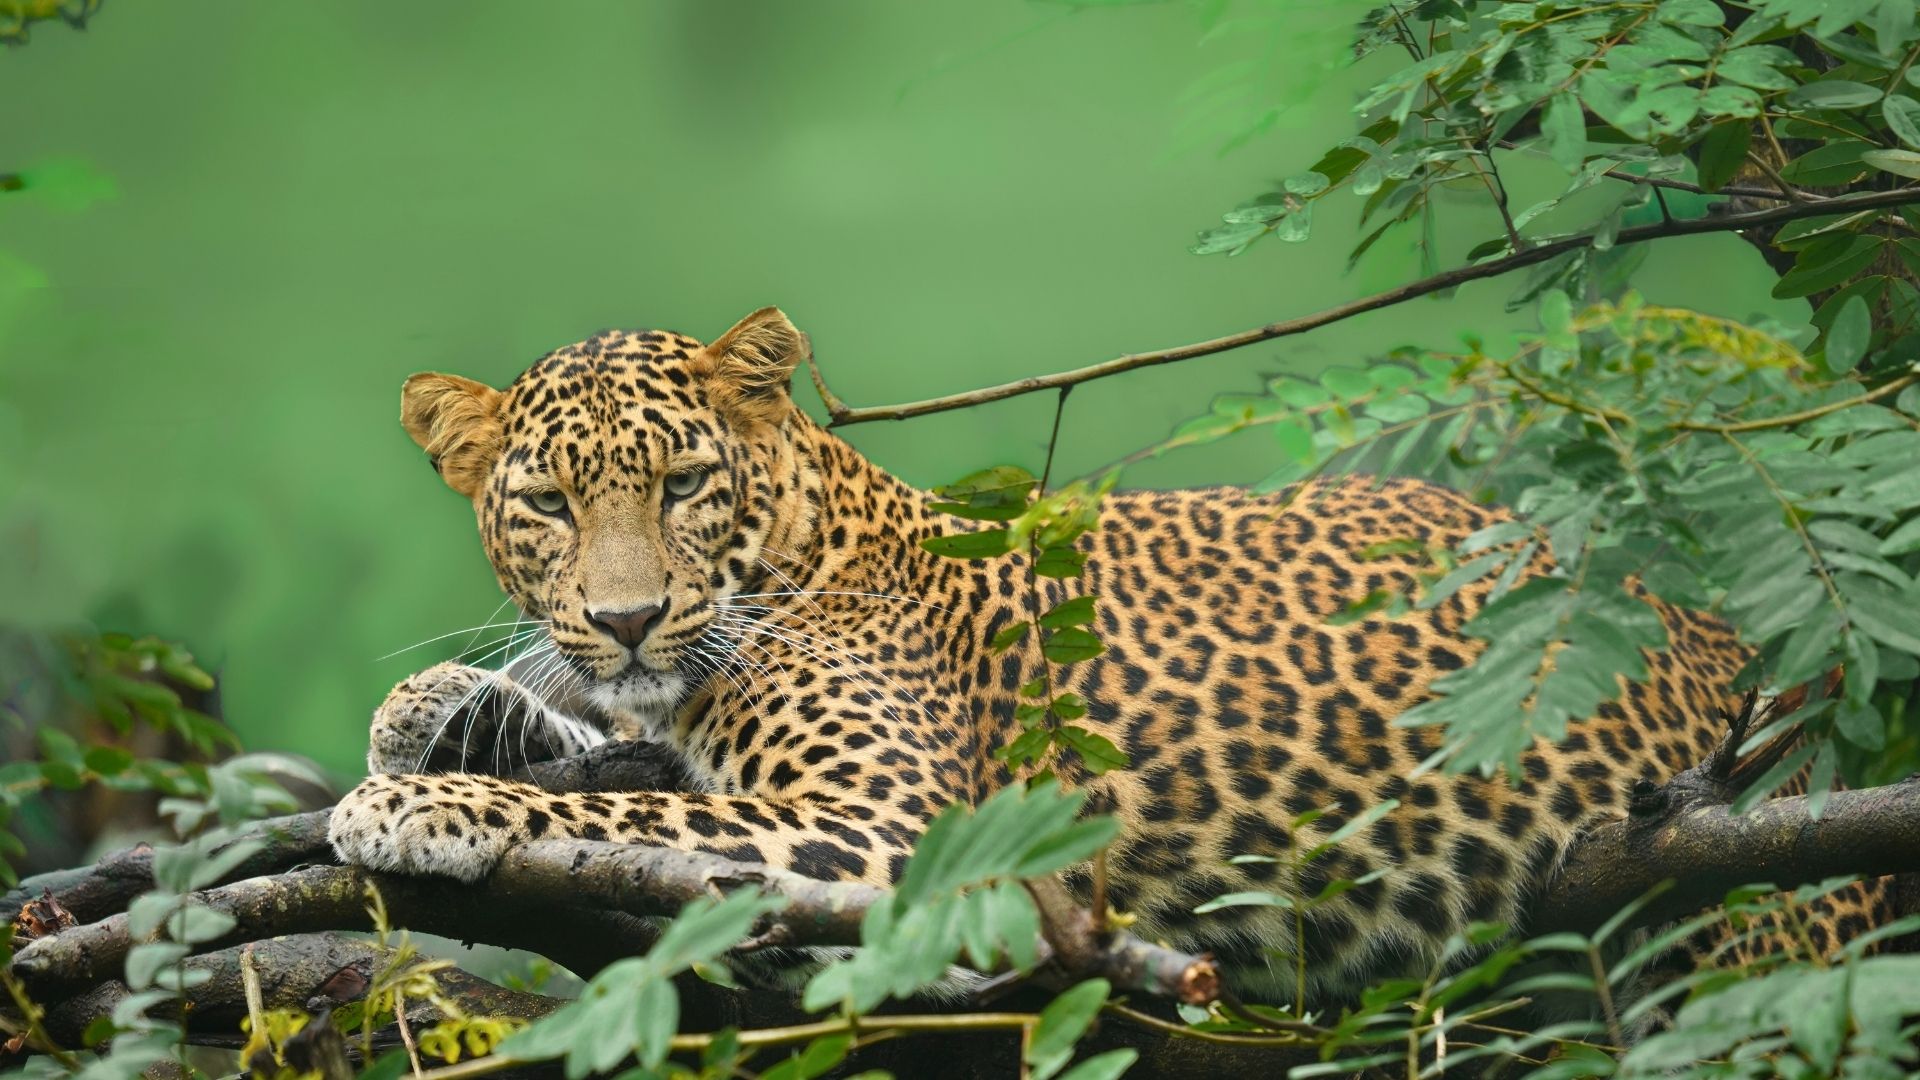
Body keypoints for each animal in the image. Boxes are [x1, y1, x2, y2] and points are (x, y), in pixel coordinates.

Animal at [327, 306, 1898, 1007]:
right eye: (547, 504)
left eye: (683, 485)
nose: (626, 618)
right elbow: (616, 752)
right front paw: (434, 708)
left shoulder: (889, 833)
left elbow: (628, 810)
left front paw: (412, 799)